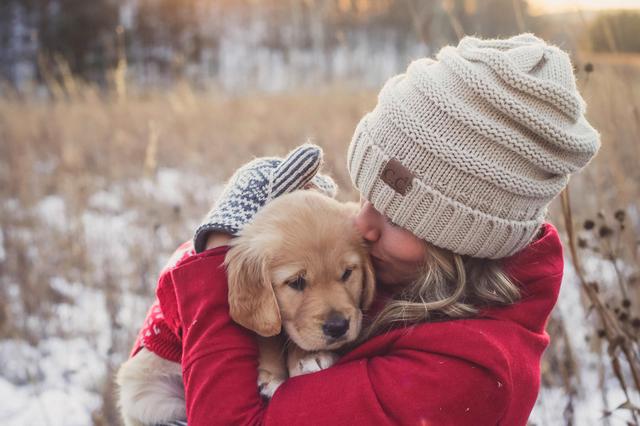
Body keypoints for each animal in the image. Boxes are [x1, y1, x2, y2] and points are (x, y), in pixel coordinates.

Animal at [117, 191, 372, 426]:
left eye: (347, 273)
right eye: (297, 282)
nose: (338, 327)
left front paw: (308, 355)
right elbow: (266, 336)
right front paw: (272, 375)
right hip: (148, 392)